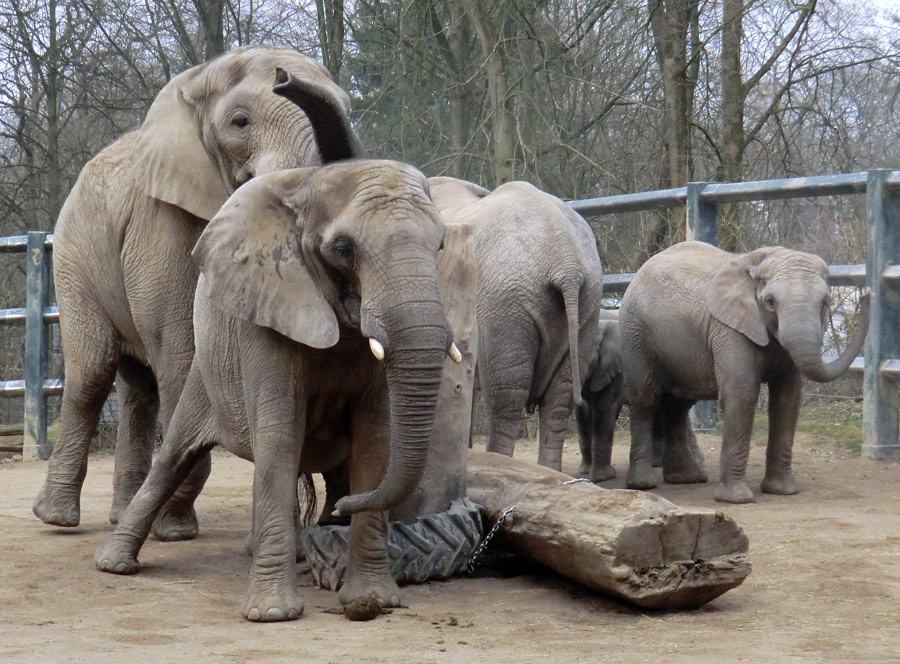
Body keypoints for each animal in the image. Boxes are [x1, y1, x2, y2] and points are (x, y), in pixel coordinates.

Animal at [36, 45, 358, 540]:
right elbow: (185, 346)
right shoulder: (162, 221)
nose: (284, 76)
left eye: (349, 110)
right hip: (75, 256)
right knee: (92, 373)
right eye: (240, 122)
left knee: (137, 390)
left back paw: (120, 515)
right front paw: (174, 530)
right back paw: (57, 519)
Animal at [94, 68, 458, 624]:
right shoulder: (265, 320)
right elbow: (279, 434)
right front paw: (271, 615)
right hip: (205, 378)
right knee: (173, 456)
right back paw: (115, 564)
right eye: (342, 249)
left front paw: (370, 602)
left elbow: (374, 441)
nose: (285, 77)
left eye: (439, 244)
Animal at [624, 243, 868, 504]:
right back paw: (643, 484)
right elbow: (742, 394)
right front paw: (736, 499)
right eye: (770, 302)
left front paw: (782, 491)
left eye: (824, 302)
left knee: (678, 405)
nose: (867, 294)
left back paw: (687, 478)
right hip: (636, 334)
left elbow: (788, 398)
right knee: (645, 399)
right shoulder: (729, 329)